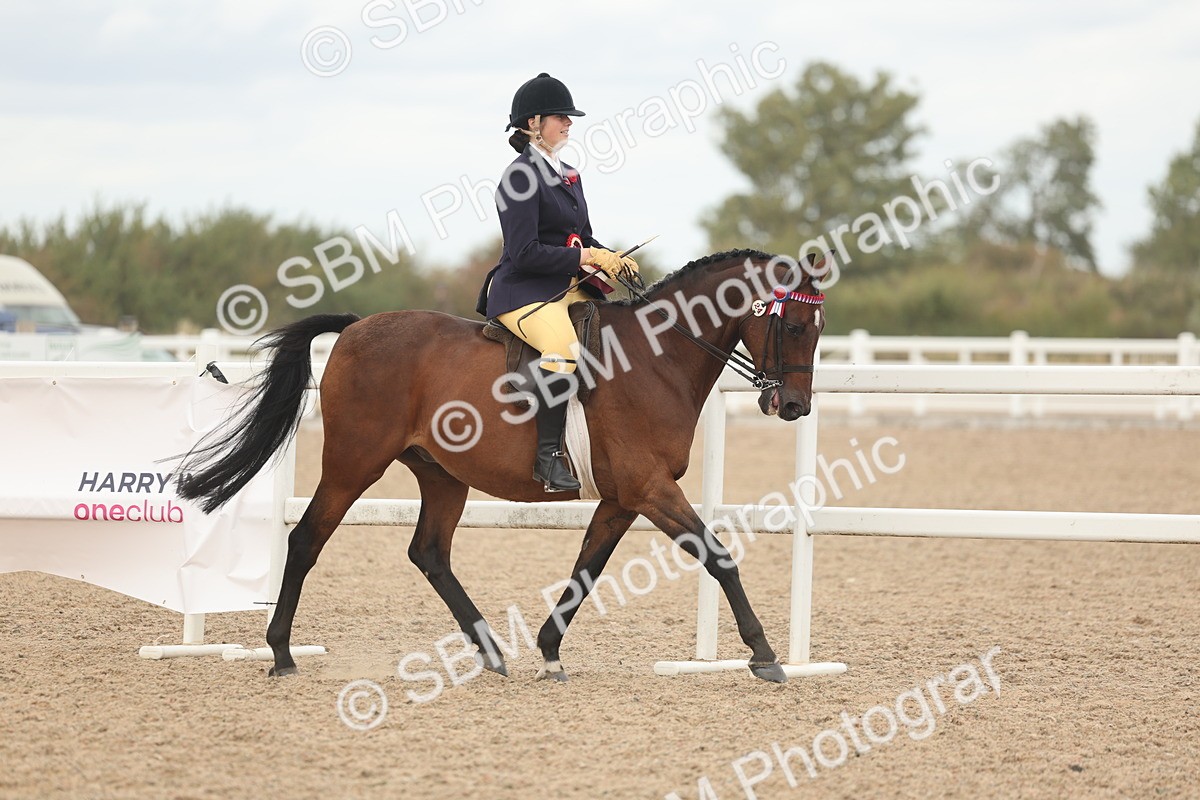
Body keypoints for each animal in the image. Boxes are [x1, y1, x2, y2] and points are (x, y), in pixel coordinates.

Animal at [176, 248, 827, 683]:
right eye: (795, 325)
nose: (795, 406)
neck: (656, 358)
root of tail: (358, 326)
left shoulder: (623, 498)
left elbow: (587, 569)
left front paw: (548, 650)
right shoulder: (650, 489)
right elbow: (720, 557)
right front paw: (764, 655)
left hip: (440, 474)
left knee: (429, 553)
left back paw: (490, 651)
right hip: (352, 463)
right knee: (308, 539)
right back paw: (282, 655)